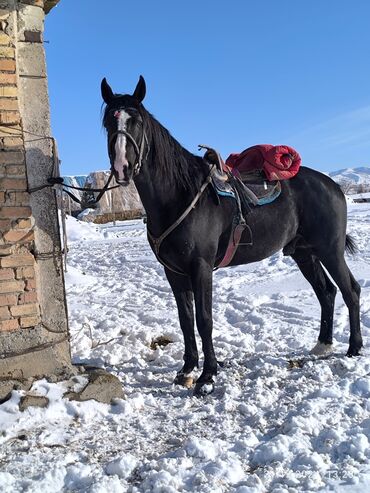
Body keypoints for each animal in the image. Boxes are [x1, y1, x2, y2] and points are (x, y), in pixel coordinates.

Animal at [100, 75, 362, 394]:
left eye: (136, 121)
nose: (121, 167)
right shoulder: (174, 272)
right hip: (304, 253)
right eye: (108, 122)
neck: (180, 195)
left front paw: (208, 376)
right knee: (326, 292)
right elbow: (185, 319)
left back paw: (354, 348)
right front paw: (187, 369)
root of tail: (333, 185)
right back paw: (323, 344)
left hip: (329, 249)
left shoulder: (201, 267)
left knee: (350, 290)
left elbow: (204, 319)